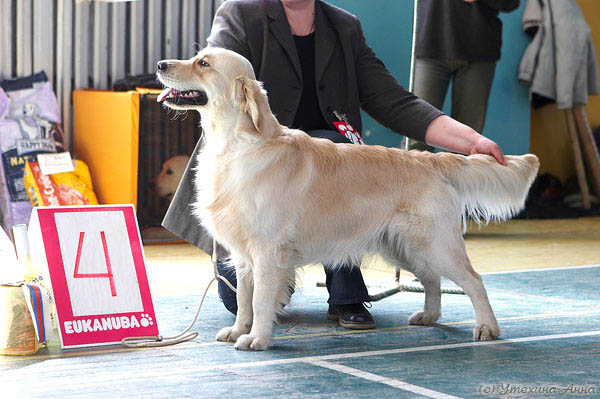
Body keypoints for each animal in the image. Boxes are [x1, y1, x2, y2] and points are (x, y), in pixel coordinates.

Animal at [155, 48, 540, 352]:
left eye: (203, 63)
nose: (160, 64)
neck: (235, 144)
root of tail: (428, 159)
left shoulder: (267, 250)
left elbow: (262, 299)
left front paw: (257, 339)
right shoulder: (241, 253)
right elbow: (244, 298)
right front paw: (238, 330)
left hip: (437, 243)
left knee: (474, 280)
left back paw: (487, 327)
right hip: (404, 246)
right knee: (432, 280)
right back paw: (429, 315)